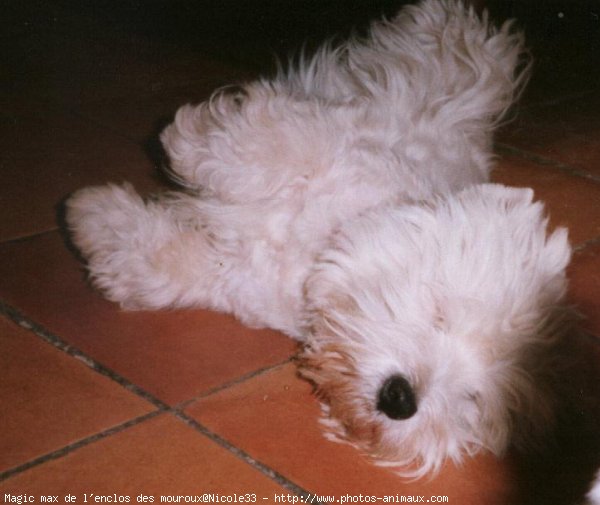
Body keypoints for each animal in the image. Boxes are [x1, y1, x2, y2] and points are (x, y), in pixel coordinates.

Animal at [65, 0, 572, 476]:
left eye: (475, 398)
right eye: (440, 311)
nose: (400, 399)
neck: (314, 262)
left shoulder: (235, 278)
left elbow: (170, 264)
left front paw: (94, 220)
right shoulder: (337, 142)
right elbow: (270, 146)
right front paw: (188, 141)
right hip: (450, 71)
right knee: (454, 52)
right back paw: (437, 20)